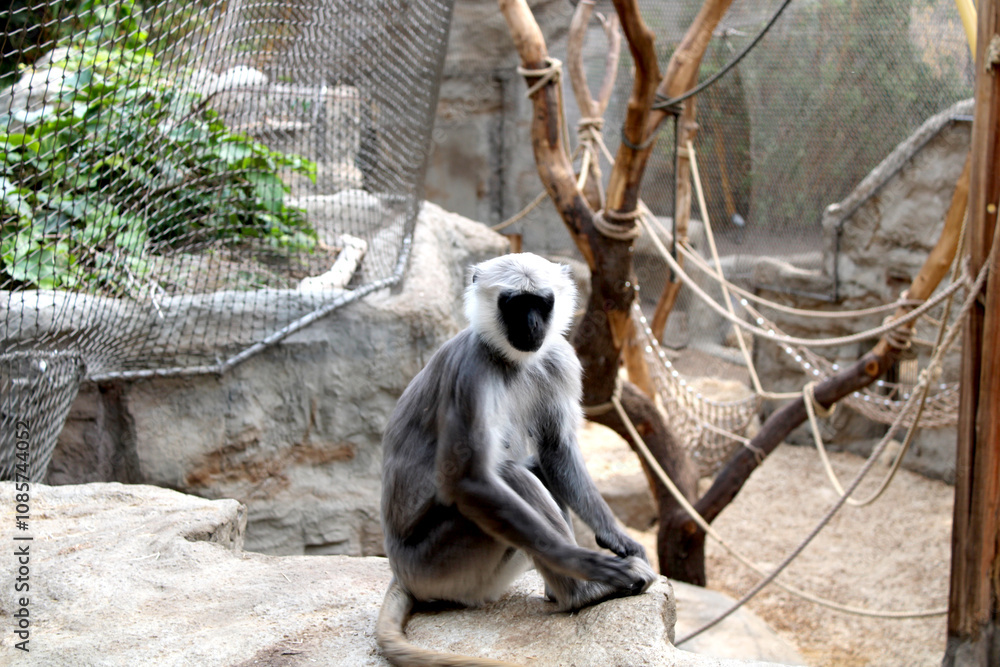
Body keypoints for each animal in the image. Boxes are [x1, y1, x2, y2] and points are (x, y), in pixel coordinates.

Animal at [376, 253, 656, 664]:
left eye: (540, 303)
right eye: (515, 304)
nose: (531, 325)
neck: (510, 360)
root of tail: (401, 572)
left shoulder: (558, 358)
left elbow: (556, 450)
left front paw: (617, 537)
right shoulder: (471, 370)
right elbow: (468, 480)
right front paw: (588, 564)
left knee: (534, 469)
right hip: (440, 566)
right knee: (512, 476)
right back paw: (581, 593)